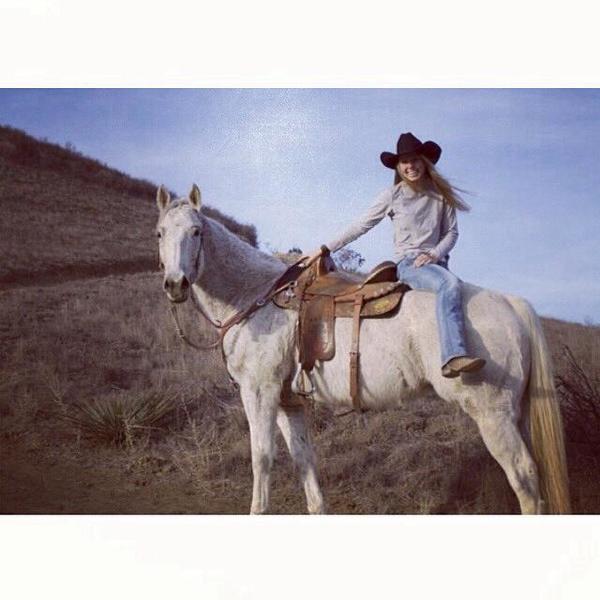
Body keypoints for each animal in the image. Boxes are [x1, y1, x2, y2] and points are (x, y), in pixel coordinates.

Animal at [155, 184, 571, 515]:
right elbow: (304, 461)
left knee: (524, 476)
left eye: (196, 231)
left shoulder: (260, 392)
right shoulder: (289, 402)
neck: (256, 297)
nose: (175, 284)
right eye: (160, 233)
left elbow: (262, 459)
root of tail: (511, 302)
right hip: (516, 413)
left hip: (492, 414)